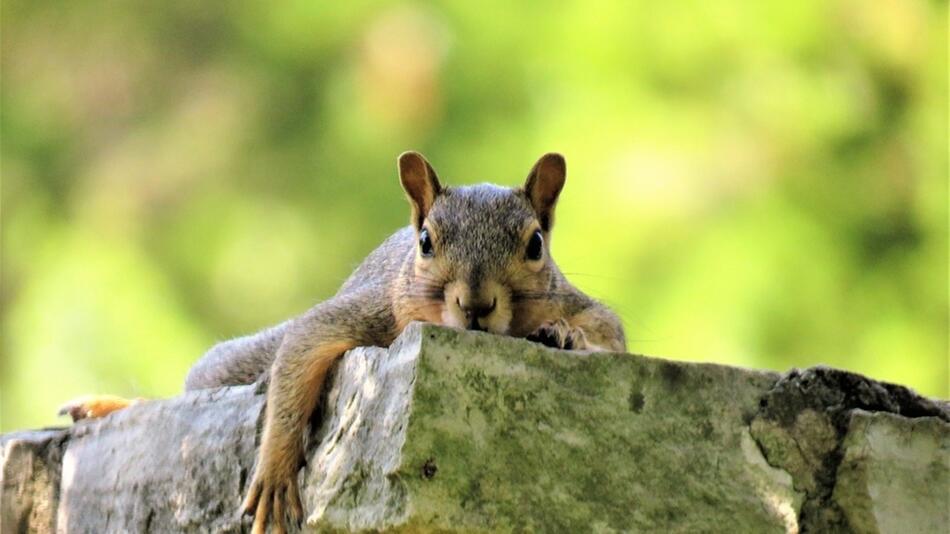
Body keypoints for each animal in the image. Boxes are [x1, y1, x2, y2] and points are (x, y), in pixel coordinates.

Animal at [57, 152, 624, 534]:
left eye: (535, 245)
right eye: (425, 242)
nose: (476, 305)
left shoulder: (576, 302)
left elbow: (610, 334)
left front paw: (564, 335)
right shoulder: (372, 311)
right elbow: (301, 352)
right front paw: (275, 473)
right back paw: (111, 406)